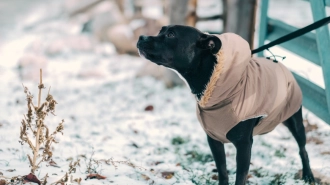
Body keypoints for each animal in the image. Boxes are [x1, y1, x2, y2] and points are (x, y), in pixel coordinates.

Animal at [136, 25, 314, 184]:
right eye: (161, 30)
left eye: (171, 35)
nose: (141, 37)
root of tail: (281, 65)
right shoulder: (214, 140)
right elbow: (222, 171)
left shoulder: (243, 145)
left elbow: (240, 177)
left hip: (295, 121)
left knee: (303, 149)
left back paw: (308, 176)